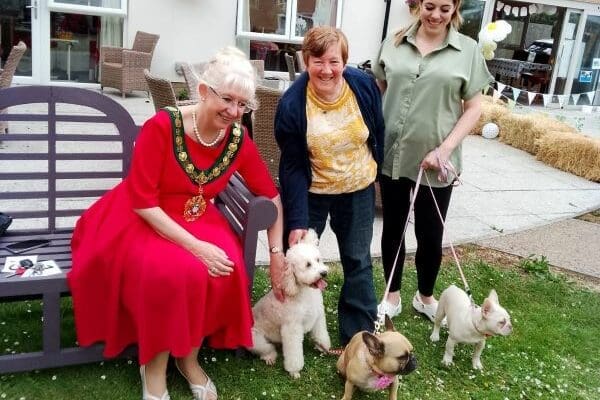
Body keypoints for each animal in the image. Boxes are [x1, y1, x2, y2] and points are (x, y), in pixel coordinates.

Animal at [250, 230, 332, 376]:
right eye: (308, 265)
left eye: (318, 259)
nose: (323, 273)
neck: (305, 292)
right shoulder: (292, 329)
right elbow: (294, 354)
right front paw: (294, 371)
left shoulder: (318, 316)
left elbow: (321, 333)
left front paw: (323, 347)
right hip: (255, 340)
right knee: (267, 349)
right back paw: (270, 357)